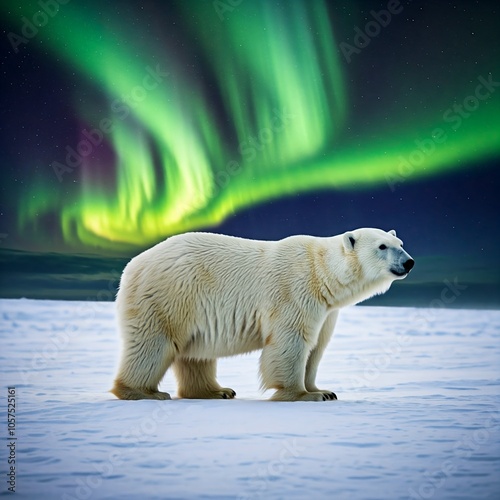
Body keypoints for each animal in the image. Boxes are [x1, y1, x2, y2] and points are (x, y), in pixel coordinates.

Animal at [112, 229, 414, 400]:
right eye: (382, 246)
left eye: (400, 242)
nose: (409, 262)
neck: (322, 274)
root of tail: (132, 265)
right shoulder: (295, 292)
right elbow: (291, 342)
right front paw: (302, 395)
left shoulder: (327, 311)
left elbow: (316, 348)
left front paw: (323, 390)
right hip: (170, 295)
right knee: (153, 344)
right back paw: (141, 391)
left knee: (195, 355)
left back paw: (217, 391)